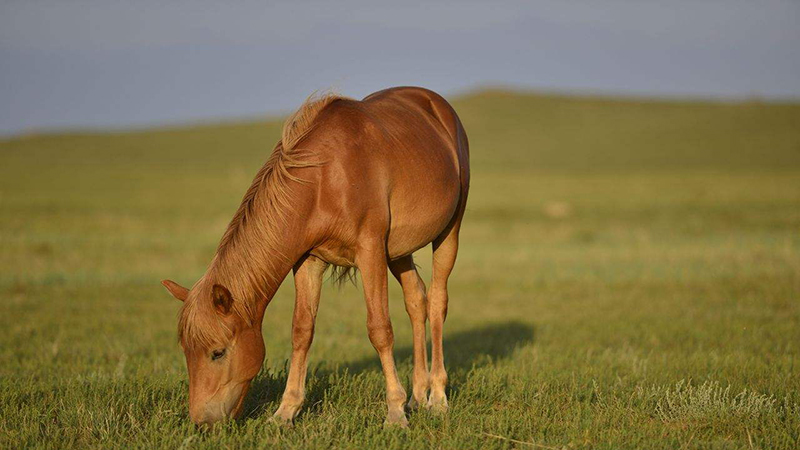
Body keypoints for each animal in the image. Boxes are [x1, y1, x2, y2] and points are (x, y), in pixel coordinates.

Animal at [163, 86, 472, 428]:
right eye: (186, 351)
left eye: (217, 352)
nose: (201, 421)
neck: (326, 177)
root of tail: (436, 104)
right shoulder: (308, 261)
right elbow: (302, 331)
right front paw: (286, 411)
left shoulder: (370, 252)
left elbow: (379, 329)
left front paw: (394, 412)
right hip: (399, 251)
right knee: (417, 300)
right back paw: (418, 396)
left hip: (448, 233)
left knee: (437, 302)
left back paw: (437, 397)